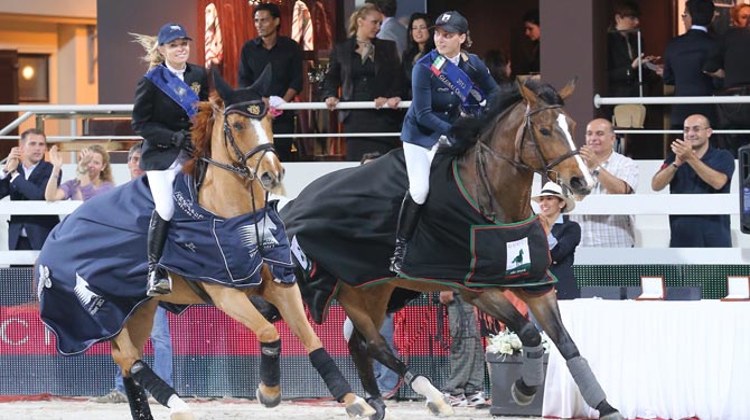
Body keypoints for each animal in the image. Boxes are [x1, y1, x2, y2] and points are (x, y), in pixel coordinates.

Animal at [37, 69, 374, 420]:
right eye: (237, 125)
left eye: (269, 120)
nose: (272, 174)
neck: (235, 215)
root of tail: (54, 237)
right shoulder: (226, 292)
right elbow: (270, 333)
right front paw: (268, 392)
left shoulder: (281, 283)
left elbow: (311, 338)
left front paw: (356, 401)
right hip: (98, 316)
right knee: (129, 357)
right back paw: (179, 406)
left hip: (135, 309)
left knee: (126, 361)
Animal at [282, 79, 628, 420]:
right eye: (544, 130)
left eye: (572, 125)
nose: (582, 181)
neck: (494, 201)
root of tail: (300, 199)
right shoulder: (477, 291)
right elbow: (529, 332)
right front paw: (524, 389)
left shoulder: (536, 285)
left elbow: (567, 344)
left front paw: (606, 407)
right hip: (352, 290)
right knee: (373, 344)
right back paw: (427, 397)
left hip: (375, 290)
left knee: (361, 344)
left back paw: (376, 405)